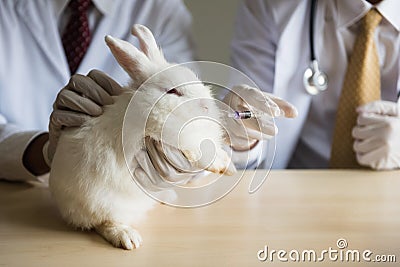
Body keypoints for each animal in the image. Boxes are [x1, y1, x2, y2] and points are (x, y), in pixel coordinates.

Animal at [50, 25, 238, 251]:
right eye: (173, 91)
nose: (206, 107)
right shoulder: (171, 140)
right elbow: (199, 152)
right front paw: (224, 166)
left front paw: (228, 165)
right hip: (103, 203)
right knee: (103, 222)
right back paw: (127, 237)